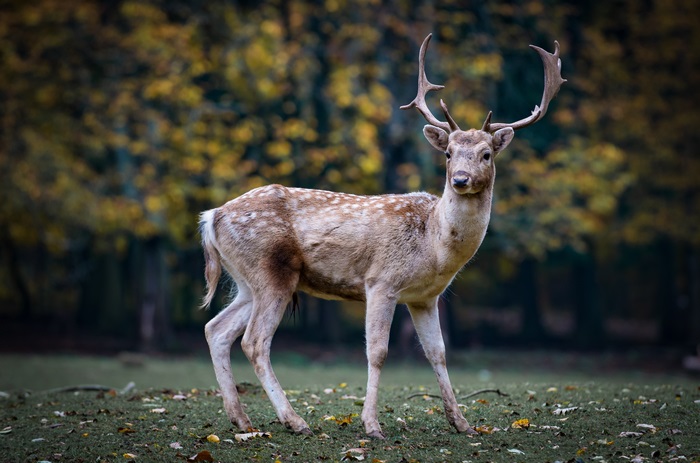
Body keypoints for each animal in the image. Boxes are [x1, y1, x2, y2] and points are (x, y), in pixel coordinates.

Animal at [199, 33, 565, 438]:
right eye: (449, 153)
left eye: (486, 154)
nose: (460, 179)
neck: (434, 246)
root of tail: (211, 217)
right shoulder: (381, 281)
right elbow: (378, 352)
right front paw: (372, 425)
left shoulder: (425, 298)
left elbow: (438, 352)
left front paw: (462, 423)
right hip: (271, 271)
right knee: (254, 341)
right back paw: (295, 421)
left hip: (246, 280)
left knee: (216, 329)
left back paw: (241, 419)